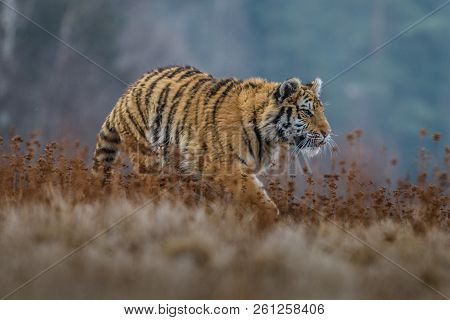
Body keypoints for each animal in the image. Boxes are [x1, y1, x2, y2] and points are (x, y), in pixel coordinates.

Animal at [93, 64, 332, 225]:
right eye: (306, 112)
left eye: (322, 111)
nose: (327, 133)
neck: (268, 135)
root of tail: (125, 94)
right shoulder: (226, 167)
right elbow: (253, 194)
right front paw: (271, 218)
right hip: (148, 157)